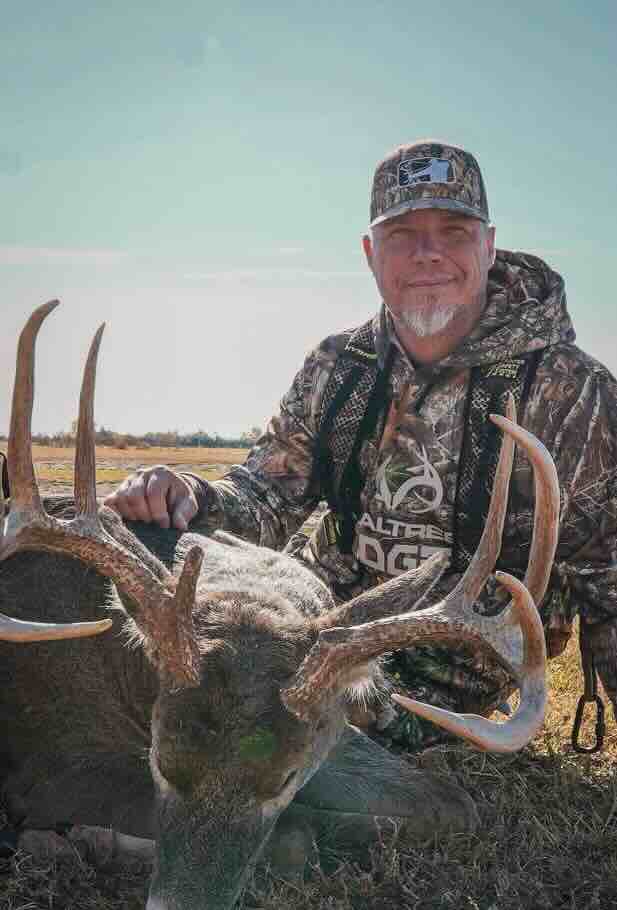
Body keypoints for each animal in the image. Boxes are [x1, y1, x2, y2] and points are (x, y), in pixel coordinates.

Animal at [0, 301, 560, 910]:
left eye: (286, 779)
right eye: (160, 761)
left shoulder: (334, 734)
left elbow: (451, 804)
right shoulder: (46, 761)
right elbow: (296, 838)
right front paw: (89, 838)